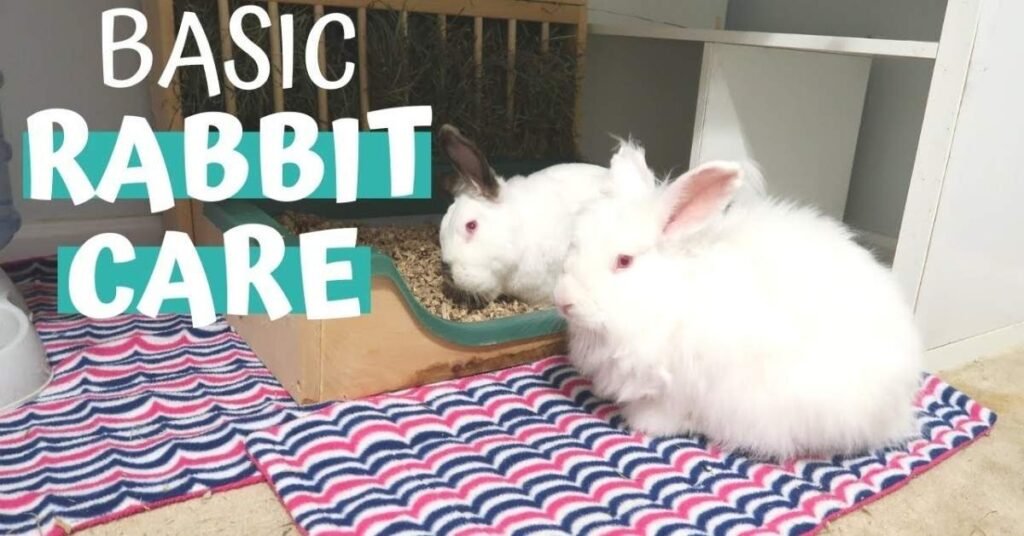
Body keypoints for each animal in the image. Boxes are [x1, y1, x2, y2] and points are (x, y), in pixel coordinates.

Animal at [553, 141, 923, 460]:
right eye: (574, 245)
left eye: (624, 261)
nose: (563, 300)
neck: (670, 292)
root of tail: (900, 407)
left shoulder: (684, 384)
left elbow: (666, 411)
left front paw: (645, 425)